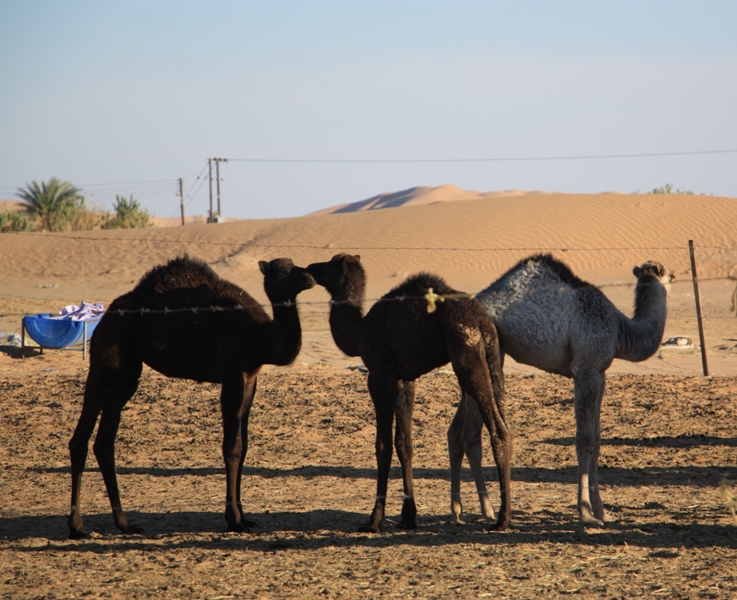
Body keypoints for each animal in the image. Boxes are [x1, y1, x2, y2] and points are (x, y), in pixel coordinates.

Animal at [69, 255, 320, 536]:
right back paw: (76, 527)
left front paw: (245, 518)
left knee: (105, 441)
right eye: (281, 272)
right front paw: (233, 520)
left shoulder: (250, 378)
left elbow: (244, 446)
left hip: (128, 368)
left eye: (297, 266)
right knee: (82, 434)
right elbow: (232, 446)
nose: (309, 277)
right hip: (107, 352)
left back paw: (125, 524)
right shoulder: (232, 374)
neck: (261, 337)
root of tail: (105, 317)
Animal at [306, 251, 512, 532]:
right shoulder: (405, 380)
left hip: (467, 355)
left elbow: (382, 445)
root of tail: (482, 321)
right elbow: (405, 443)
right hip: (494, 358)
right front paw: (408, 516)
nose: (308, 268)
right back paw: (502, 514)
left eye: (328, 265)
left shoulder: (379, 373)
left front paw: (374, 520)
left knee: (497, 429)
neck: (359, 331)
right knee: (504, 425)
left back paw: (501, 519)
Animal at [446, 253, 676, 524]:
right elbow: (585, 440)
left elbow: (597, 439)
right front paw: (586, 513)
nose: (674, 275)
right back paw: (488, 510)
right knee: (470, 435)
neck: (621, 330)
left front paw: (602, 512)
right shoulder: (585, 370)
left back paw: (457, 509)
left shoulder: (599, 373)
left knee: (454, 431)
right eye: (667, 274)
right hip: (486, 351)